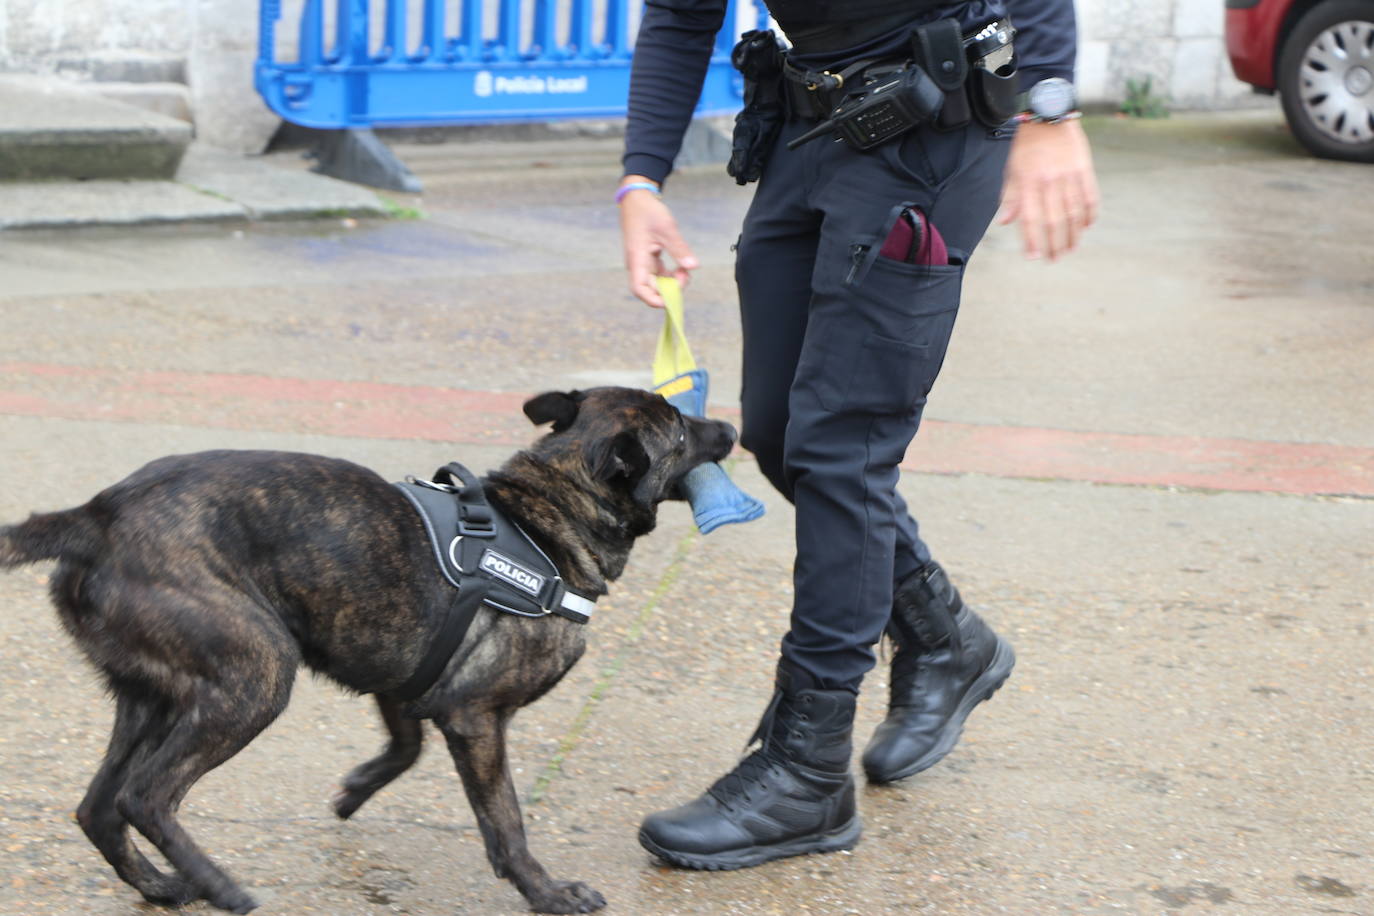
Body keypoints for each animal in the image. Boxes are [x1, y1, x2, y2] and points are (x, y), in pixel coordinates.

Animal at [0, 390, 736, 916]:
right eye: (680, 430)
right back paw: (219, 885)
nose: (731, 429)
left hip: (153, 697)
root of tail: (97, 517)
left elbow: (405, 747)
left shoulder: (402, 672)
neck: (543, 520)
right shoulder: (476, 718)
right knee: (146, 796)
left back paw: (160, 886)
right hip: (255, 676)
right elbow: (505, 821)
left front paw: (355, 791)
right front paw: (547, 894)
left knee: (99, 807)